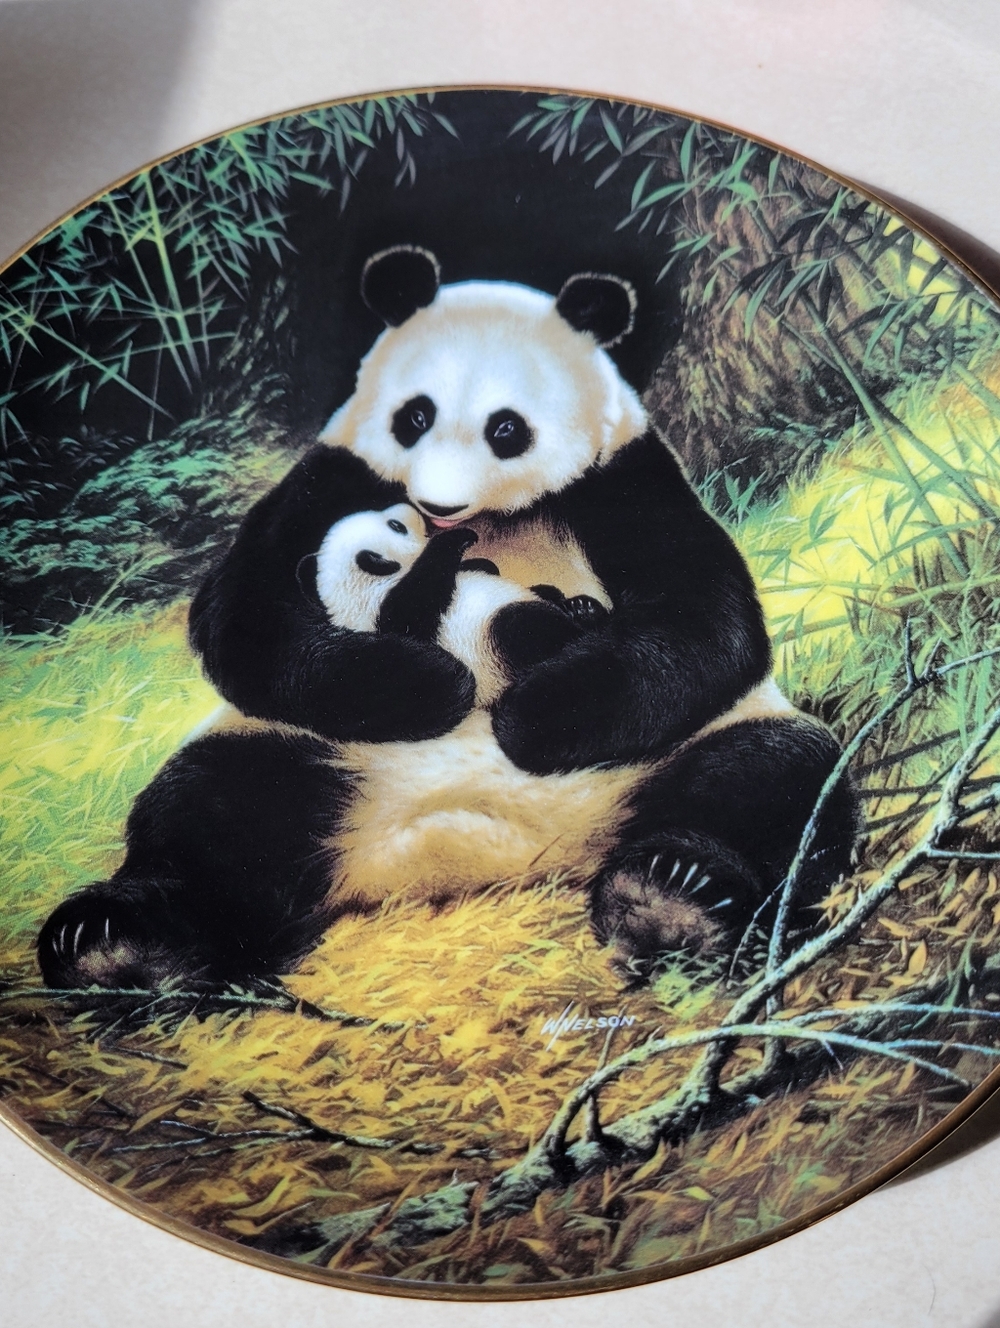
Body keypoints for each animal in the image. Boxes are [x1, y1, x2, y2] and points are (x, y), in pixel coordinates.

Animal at [37, 245, 858, 990]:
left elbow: (708, 618)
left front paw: (530, 718)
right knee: (211, 810)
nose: (435, 503)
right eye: (415, 415)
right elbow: (244, 616)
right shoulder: (336, 475)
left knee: (768, 776)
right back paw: (117, 944)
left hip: (673, 751)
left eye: (507, 429)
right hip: (304, 753)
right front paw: (429, 686)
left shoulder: (623, 479)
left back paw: (671, 896)